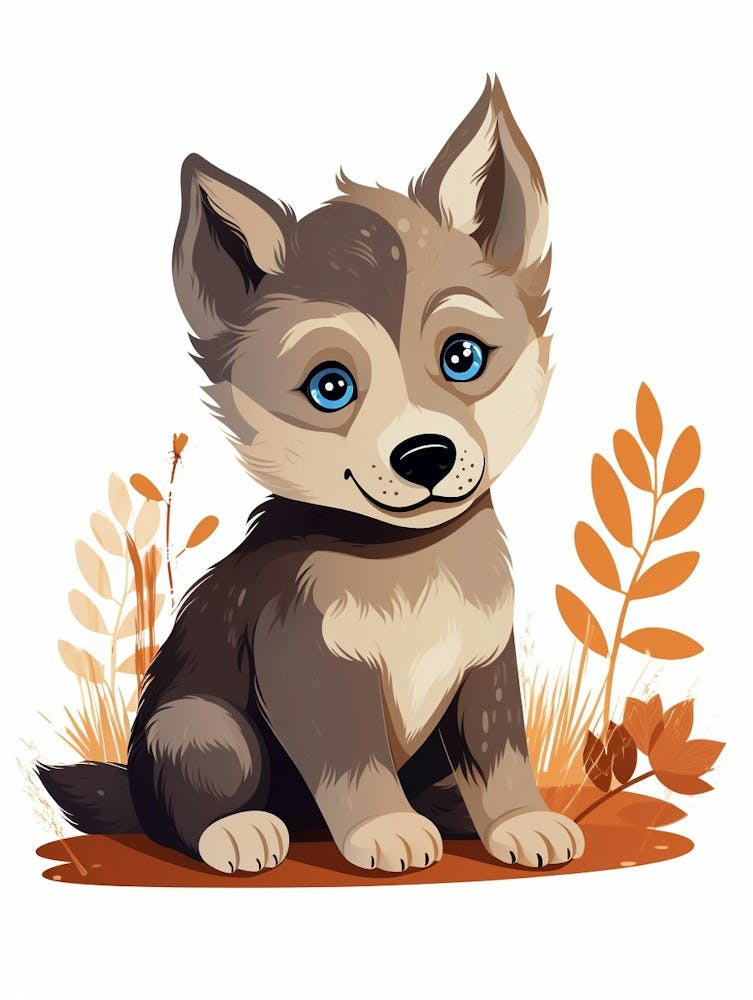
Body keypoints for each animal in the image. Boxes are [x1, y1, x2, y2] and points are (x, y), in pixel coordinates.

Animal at [39, 76, 584, 875]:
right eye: (331, 387)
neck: (410, 561)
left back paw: (446, 808)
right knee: (184, 806)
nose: (425, 455)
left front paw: (519, 820)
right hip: (199, 726)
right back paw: (240, 830)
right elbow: (352, 765)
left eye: (462, 358)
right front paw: (385, 829)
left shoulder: (485, 665)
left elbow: (501, 755)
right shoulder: (308, 668)